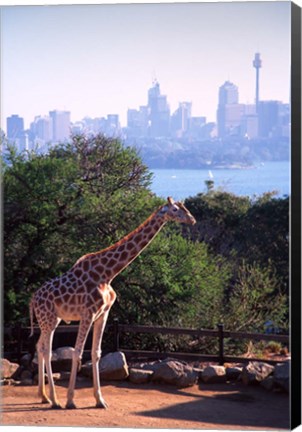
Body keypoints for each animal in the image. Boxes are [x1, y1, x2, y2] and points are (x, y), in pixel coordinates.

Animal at [29, 197, 196, 410]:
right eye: (175, 210)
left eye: (184, 208)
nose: (192, 219)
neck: (108, 274)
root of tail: (33, 299)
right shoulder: (87, 313)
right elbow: (78, 352)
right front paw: (71, 400)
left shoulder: (103, 314)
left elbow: (96, 353)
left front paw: (100, 400)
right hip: (48, 319)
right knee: (46, 350)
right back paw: (55, 400)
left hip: (53, 319)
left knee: (39, 346)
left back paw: (44, 396)